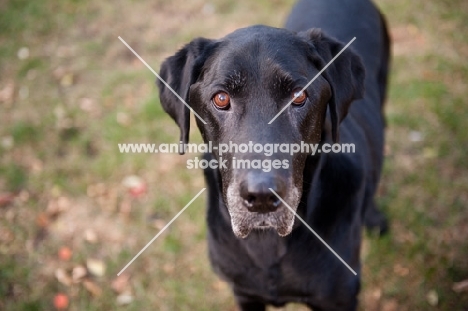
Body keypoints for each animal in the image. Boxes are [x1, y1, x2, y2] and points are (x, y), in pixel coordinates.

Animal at [158, 0, 392, 310]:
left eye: (298, 96)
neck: (268, 243)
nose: (261, 197)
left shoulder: (339, 298)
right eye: (221, 98)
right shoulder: (245, 294)